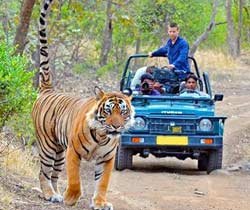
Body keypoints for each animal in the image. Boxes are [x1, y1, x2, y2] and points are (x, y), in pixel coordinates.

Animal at [32, 0, 135, 209]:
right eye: (108, 111)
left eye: (123, 112)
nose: (116, 126)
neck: (102, 136)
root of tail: (48, 90)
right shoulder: (73, 152)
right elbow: (74, 179)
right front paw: (71, 198)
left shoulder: (106, 159)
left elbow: (102, 183)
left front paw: (100, 203)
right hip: (47, 146)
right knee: (43, 172)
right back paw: (50, 194)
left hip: (59, 151)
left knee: (54, 174)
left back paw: (56, 194)